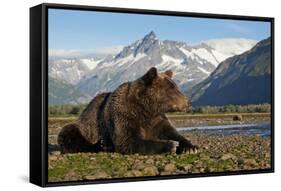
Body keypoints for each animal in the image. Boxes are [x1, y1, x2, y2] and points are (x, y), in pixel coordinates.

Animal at [57, 68, 196, 154]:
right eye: (172, 89)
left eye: (176, 86)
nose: (189, 102)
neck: (147, 108)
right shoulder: (124, 115)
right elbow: (128, 140)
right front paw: (171, 145)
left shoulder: (157, 119)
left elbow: (171, 131)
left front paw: (190, 147)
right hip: (85, 126)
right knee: (70, 135)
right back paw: (102, 145)